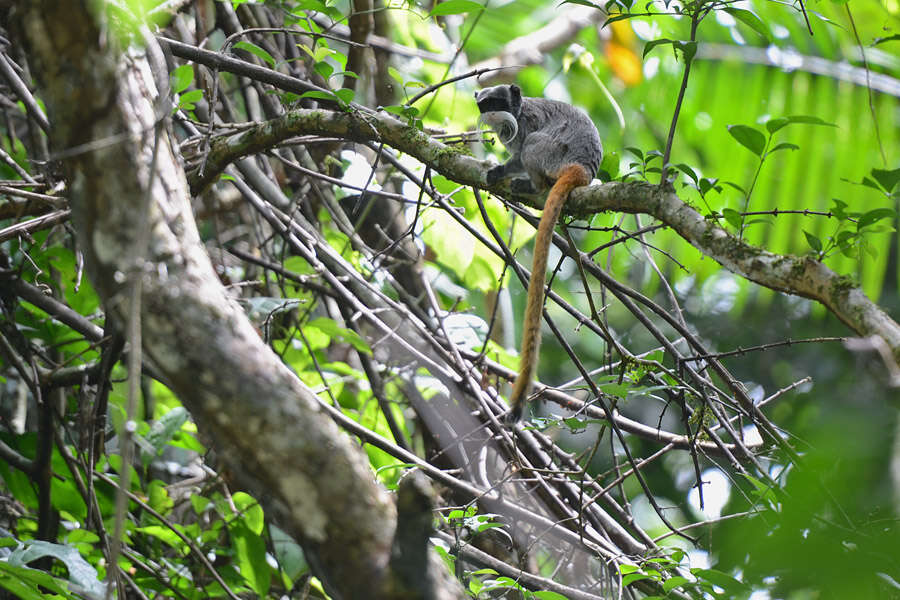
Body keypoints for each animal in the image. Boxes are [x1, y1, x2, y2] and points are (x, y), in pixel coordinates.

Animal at [474, 83, 600, 422]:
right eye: (484, 105)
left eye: (498, 102)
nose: (492, 114)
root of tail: (582, 168)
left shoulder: (526, 123)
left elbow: (519, 152)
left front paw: (501, 171)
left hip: (552, 153)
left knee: (532, 148)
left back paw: (532, 186)